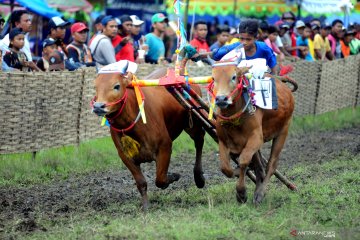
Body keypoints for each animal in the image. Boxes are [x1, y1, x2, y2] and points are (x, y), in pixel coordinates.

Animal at [211, 58, 296, 204]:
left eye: (234, 77)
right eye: (213, 78)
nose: (221, 99)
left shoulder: (256, 138)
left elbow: (244, 161)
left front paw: (241, 192)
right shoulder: (223, 140)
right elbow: (225, 168)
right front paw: (237, 177)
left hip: (283, 131)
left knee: (271, 166)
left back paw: (260, 194)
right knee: (259, 167)